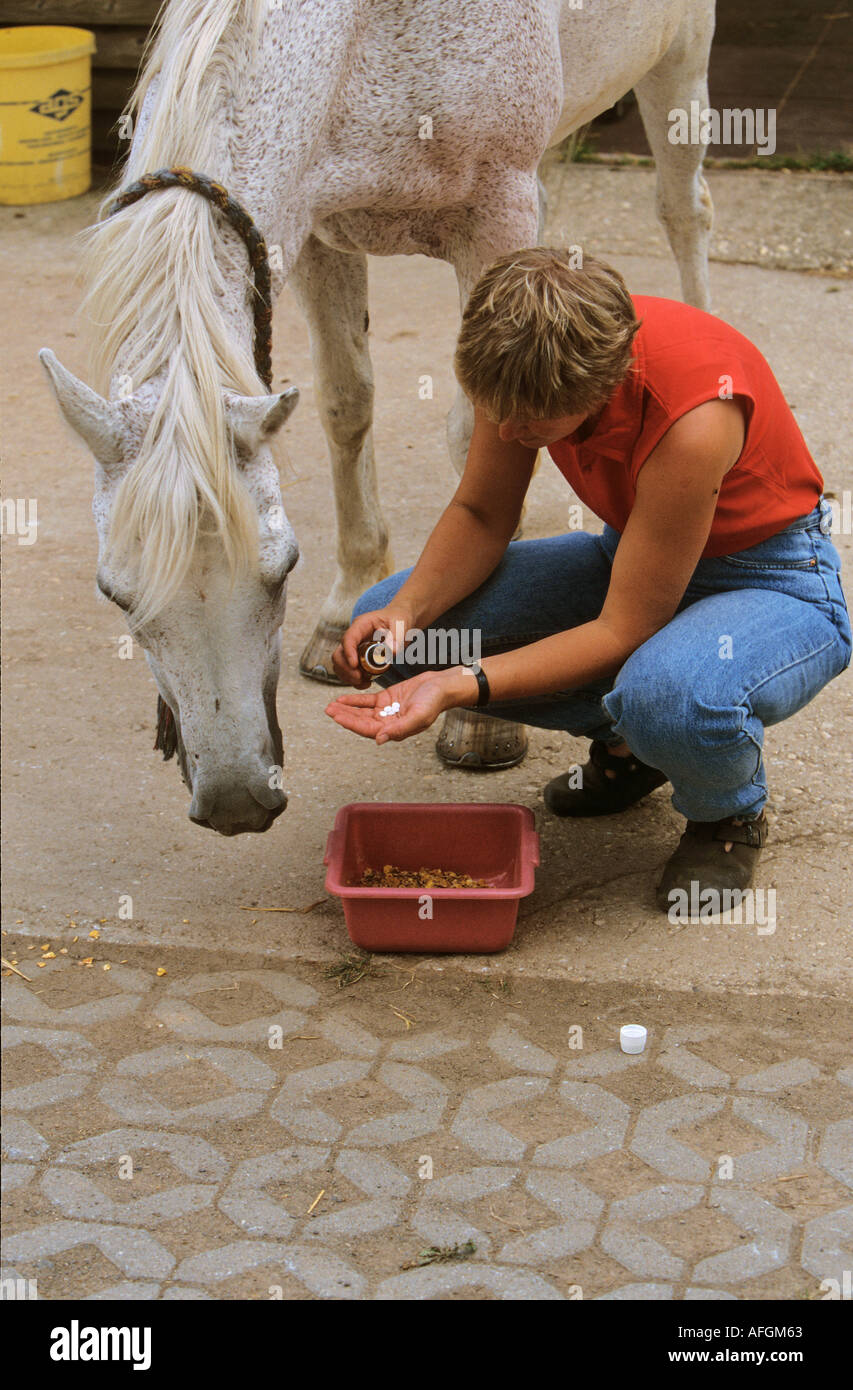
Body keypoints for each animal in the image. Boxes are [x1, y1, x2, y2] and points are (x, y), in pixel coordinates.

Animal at [40, 0, 716, 835]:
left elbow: (481, 434)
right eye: (114, 592)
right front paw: (344, 609)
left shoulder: (492, 215)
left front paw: (480, 722)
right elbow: (346, 402)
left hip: (678, 64)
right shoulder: (313, 236)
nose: (235, 800)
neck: (373, 35)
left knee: (683, 211)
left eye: (281, 566)